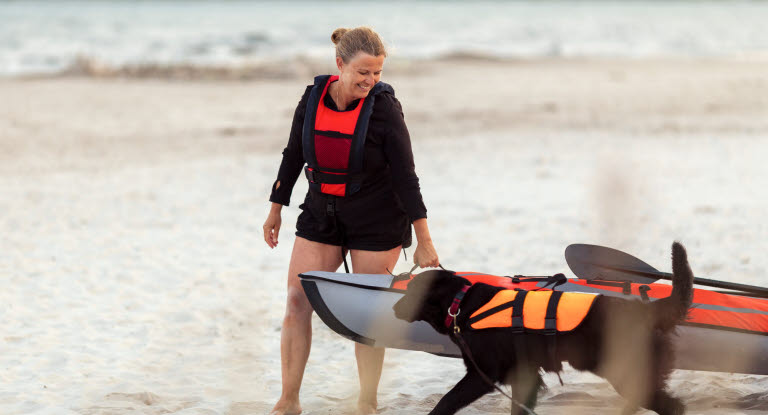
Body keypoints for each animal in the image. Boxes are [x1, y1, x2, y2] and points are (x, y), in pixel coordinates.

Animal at [396, 244, 696, 415]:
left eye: (410, 292)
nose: (396, 307)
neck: (461, 304)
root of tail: (646, 310)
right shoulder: (525, 375)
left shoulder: (483, 375)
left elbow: (445, 403)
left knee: (672, 406)